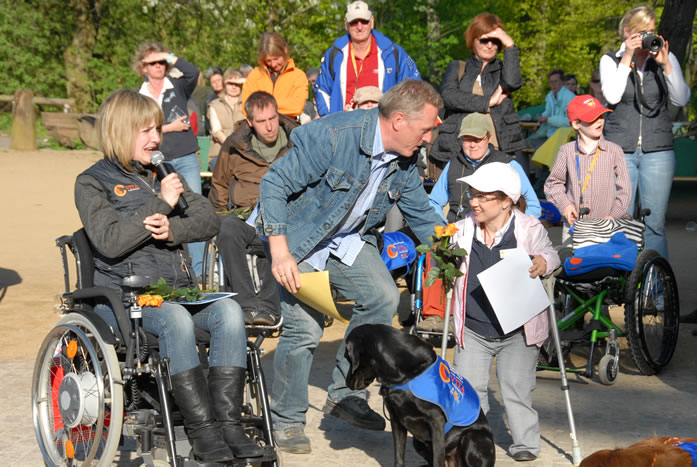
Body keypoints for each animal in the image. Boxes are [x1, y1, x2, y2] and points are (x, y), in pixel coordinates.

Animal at [345, 323, 495, 467]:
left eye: (348, 358)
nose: (347, 382)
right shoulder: (396, 418)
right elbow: (399, 458)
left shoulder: (436, 420)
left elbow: (437, 461)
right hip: (418, 442)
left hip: (472, 437)